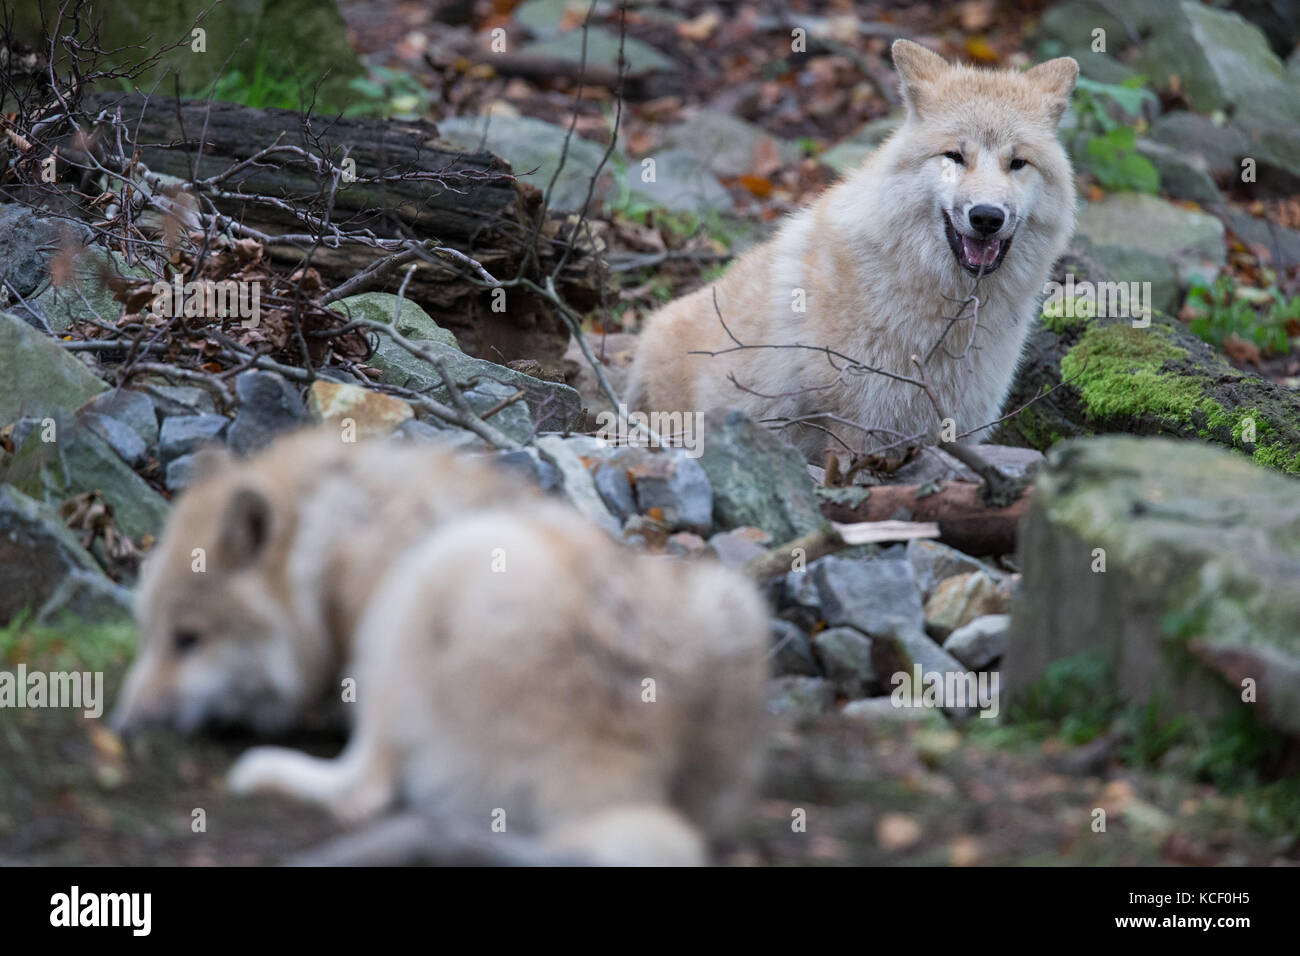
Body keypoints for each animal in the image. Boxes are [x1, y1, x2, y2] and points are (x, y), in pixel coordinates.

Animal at [111, 429, 769, 863]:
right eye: (148, 634)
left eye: (188, 640)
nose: (120, 726)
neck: (332, 539)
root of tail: (626, 767)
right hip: (732, 602)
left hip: (426, 584)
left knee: (365, 792)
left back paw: (267, 771)